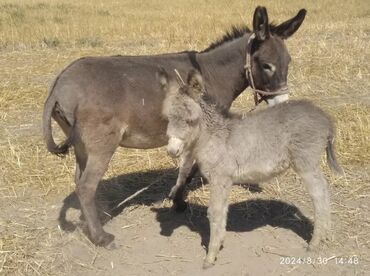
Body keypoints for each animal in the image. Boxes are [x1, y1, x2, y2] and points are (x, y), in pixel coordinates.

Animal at [160, 70, 342, 268]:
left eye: (190, 120)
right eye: (168, 118)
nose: (172, 151)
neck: (213, 136)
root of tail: (324, 117)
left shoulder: (219, 179)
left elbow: (214, 212)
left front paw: (210, 257)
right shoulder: (224, 181)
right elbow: (222, 212)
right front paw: (219, 244)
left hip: (305, 162)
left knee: (319, 193)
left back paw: (315, 242)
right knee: (324, 189)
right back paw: (327, 235)